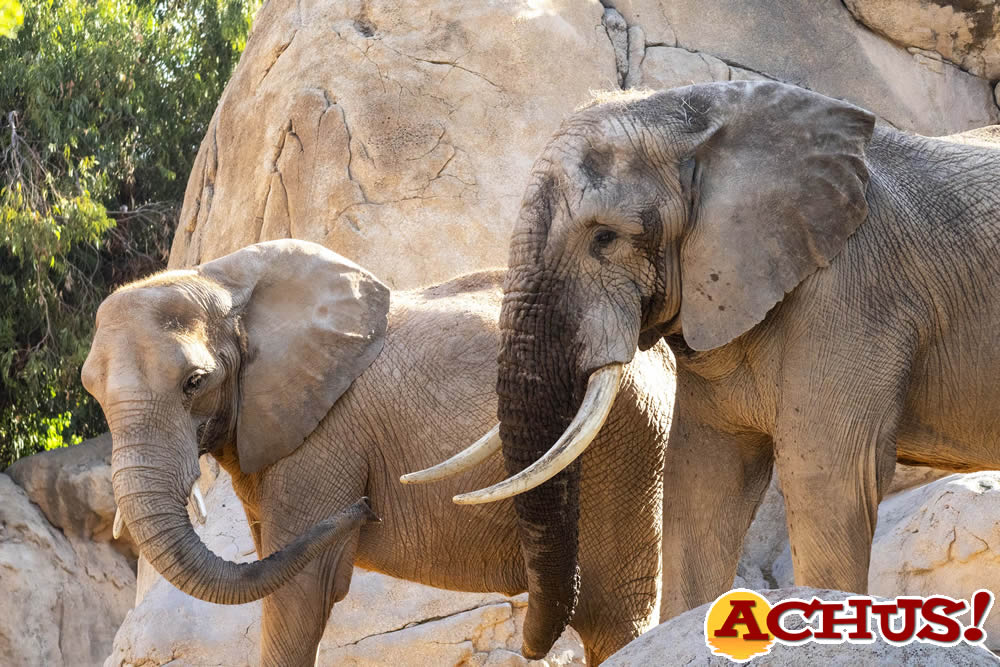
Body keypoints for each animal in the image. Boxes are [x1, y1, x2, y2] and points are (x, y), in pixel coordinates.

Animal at [78, 239, 672, 664]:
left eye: (195, 383)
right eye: (92, 390)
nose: (363, 508)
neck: (224, 282)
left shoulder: (324, 437)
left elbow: (302, 593)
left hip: (625, 443)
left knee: (614, 614)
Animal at [424, 81, 1000, 660]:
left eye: (604, 238)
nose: (530, 650)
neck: (710, 122)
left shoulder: (854, 292)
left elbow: (827, 473)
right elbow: (703, 482)